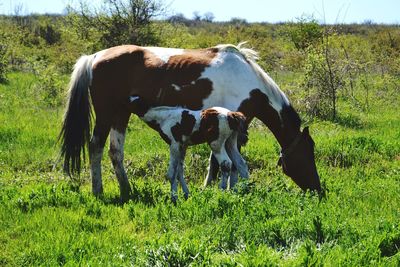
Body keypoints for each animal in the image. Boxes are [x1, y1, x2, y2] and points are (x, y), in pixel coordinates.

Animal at [59, 43, 322, 202]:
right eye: (307, 154)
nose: (319, 190)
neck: (249, 83)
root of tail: (94, 56)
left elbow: (223, 162)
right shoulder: (227, 126)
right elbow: (223, 162)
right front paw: (219, 189)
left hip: (120, 115)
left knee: (115, 151)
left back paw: (126, 190)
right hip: (106, 114)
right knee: (95, 147)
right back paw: (98, 191)